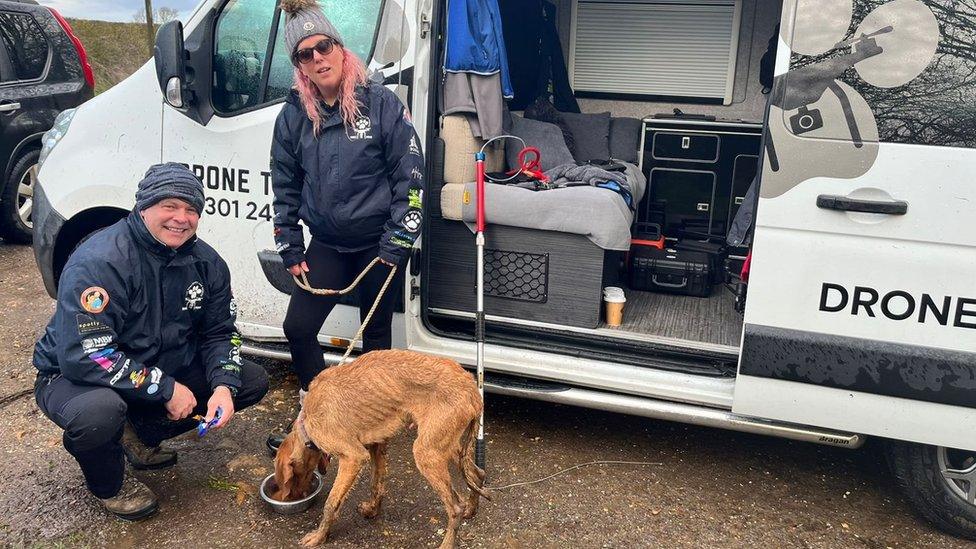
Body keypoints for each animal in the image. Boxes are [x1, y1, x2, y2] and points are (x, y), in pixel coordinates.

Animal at [272, 348, 488, 544]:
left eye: (295, 475)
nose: (293, 497)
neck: (307, 419)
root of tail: (471, 385)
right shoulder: (376, 447)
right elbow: (377, 483)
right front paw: (372, 510)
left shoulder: (353, 457)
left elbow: (331, 503)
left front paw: (319, 537)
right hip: (445, 446)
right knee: (478, 474)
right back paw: (471, 509)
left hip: (427, 453)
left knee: (455, 507)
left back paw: (448, 542)